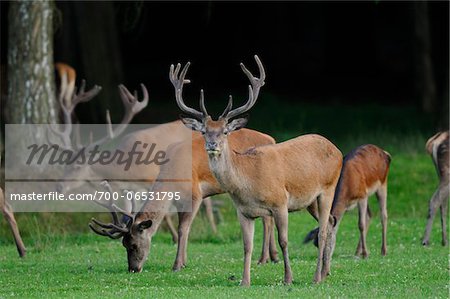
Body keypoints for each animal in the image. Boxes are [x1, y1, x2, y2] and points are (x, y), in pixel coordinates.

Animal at [165, 55, 342, 288]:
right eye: (204, 131)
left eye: (225, 131)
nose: (212, 145)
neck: (248, 183)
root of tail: (337, 149)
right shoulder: (243, 212)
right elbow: (246, 245)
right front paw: (244, 281)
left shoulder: (280, 203)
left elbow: (284, 241)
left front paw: (288, 278)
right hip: (310, 200)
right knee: (330, 222)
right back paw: (326, 271)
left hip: (328, 188)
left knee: (321, 231)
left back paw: (316, 277)